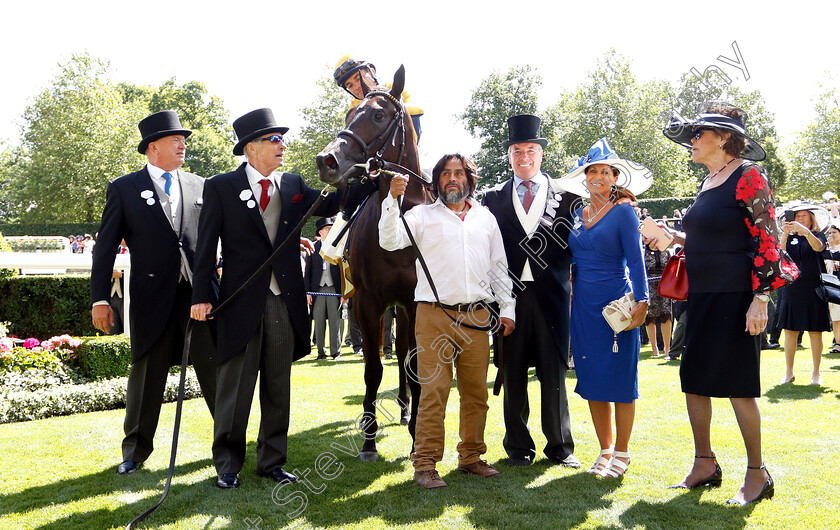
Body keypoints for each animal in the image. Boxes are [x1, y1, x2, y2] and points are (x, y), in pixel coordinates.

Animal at [314, 65, 426, 458]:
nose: (326, 161)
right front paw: (368, 440)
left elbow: (413, 364)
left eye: (378, 115)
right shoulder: (367, 301)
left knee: (405, 354)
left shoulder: (415, 302)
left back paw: (408, 411)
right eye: (348, 117)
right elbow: (373, 370)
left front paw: (417, 436)